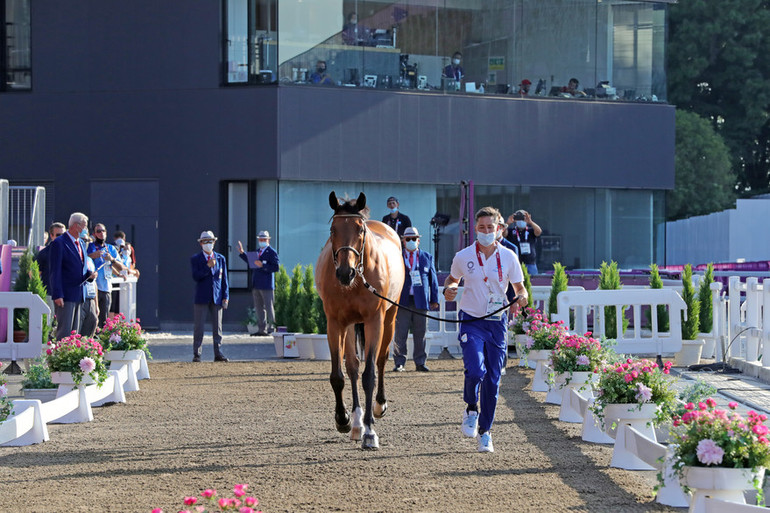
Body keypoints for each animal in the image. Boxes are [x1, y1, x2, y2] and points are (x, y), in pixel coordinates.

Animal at [316, 191, 404, 448]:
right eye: (333, 229)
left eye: (359, 229)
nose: (345, 273)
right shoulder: (335, 323)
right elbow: (340, 375)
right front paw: (343, 419)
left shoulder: (374, 321)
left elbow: (369, 375)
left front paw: (370, 432)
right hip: (350, 325)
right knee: (353, 367)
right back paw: (356, 423)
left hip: (389, 319)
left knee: (382, 359)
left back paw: (378, 407)